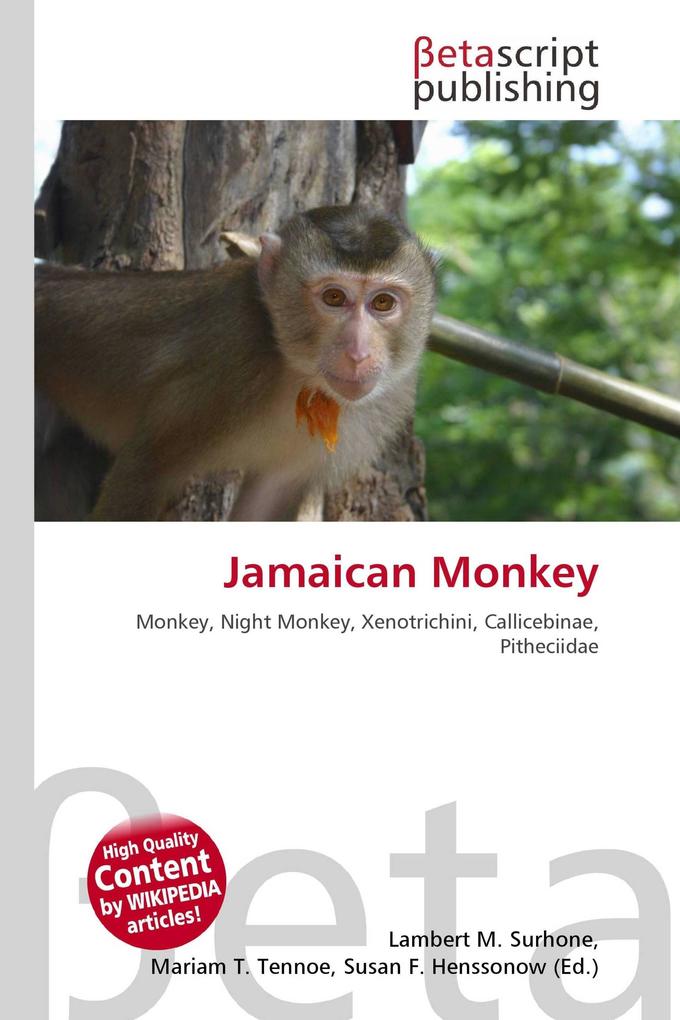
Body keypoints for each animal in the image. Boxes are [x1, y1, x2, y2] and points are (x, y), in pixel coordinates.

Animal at [35, 205, 437, 521]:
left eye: (383, 303)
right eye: (334, 297)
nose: (358, 353)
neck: (294, 373)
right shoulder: (228, 362)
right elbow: (144, 470)